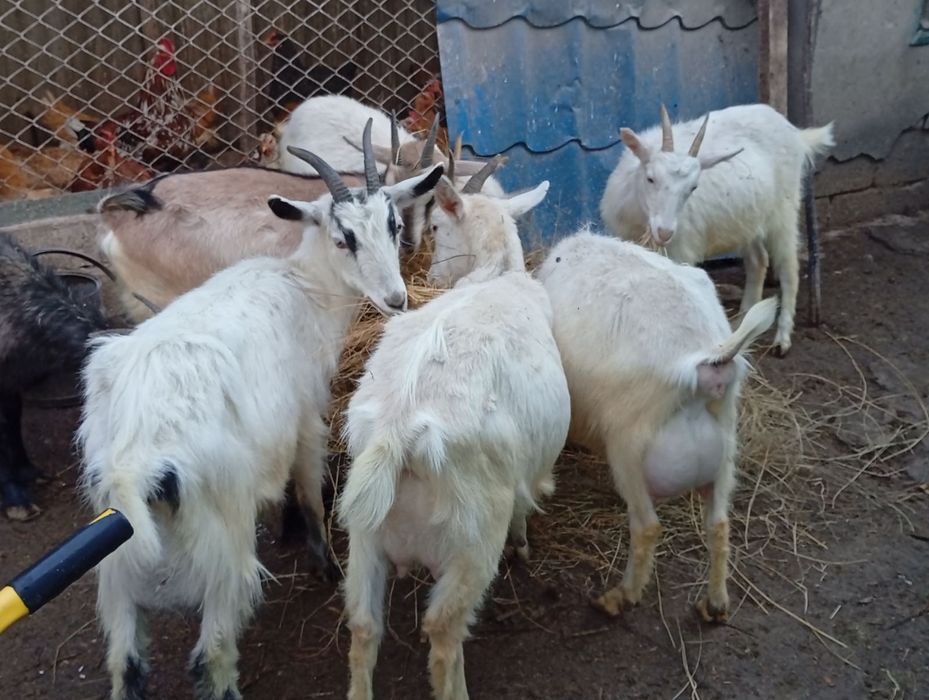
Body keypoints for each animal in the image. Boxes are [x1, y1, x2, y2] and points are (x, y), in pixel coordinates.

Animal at [78, 123, 444, 700]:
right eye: (344, 237)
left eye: (391, 222)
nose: (396, 297)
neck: (302, 286)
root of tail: (136, 461)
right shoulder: (306, 416)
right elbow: (310, 487)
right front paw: (321, 560)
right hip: (223, 542)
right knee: (211, 655)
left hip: (114, 560)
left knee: (126, 662)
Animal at [339, 262, 569, 700]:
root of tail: (397, 432)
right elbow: (524, 510)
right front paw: (522, 545)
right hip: (473, 544)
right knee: (443, 630)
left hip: (364, 536)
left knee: (363, 627)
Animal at [536, 231, 777, 623]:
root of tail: (705, 361)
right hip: (725, 449)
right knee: (719, 523)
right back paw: (715, 604)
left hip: (629, 447)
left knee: (647, 526)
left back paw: (619, 597)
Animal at [600, 103, 834, 355]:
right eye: (650, 178)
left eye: (693, 188)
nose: (664, 232)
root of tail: (796, 134)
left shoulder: (682, 251)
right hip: (746, 220)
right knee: (758, 260)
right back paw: (741, 322)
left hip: (784, 211)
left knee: (789, 267)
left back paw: (782, 338)